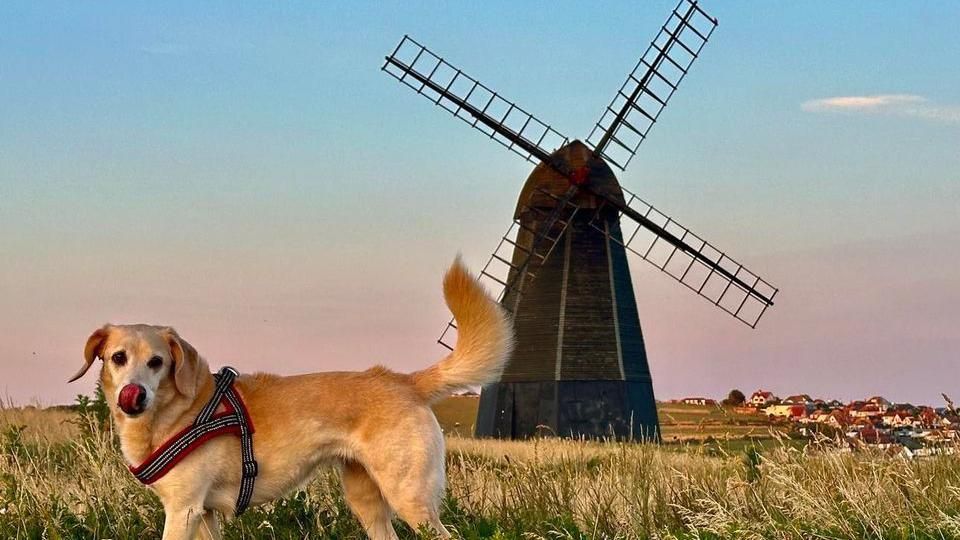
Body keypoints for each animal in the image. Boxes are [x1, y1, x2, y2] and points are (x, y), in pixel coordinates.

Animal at [68, 260, 512, 536]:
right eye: (118, 358)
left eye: (157, 362)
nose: (133, 396)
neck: (174, 414)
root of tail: (404, 380)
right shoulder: (205, 515)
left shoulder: (184, 510)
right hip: (367, 500)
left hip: (410, 497)